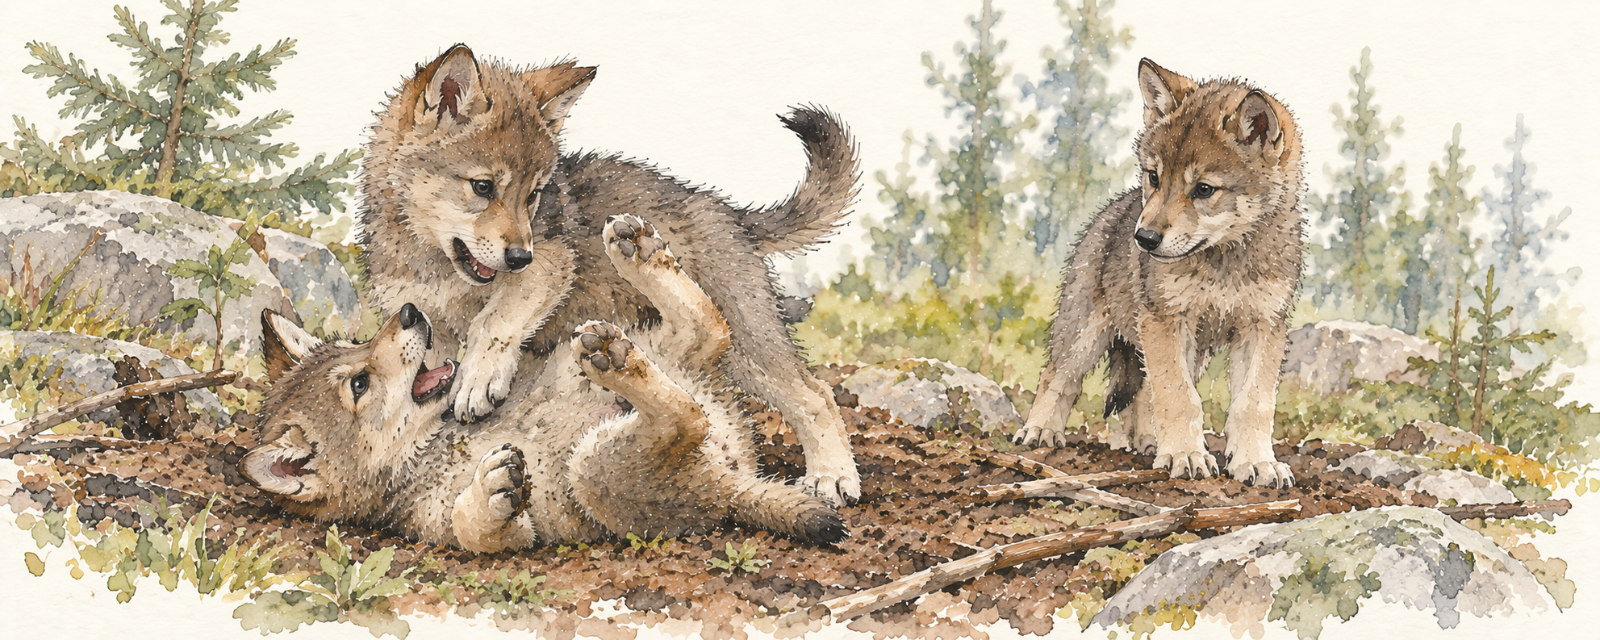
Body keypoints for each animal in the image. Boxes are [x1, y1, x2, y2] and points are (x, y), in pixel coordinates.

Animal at [243, 215, 845, 551]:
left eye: (359, 347)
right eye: (359, 385)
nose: (411, 313)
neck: (432, 445)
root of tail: (734, 486)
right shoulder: (480, 532)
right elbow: (471, 526)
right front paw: (491, 491)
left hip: (631, 353)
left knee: (710, 329)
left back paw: (639, 256)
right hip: (597, 470)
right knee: (686, 415)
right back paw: (617, 362)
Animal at [358, 44, 863, 505]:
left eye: (533, 195)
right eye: (483, 188)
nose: (520, 255)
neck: (432, 261)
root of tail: (730, 213)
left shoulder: (551, 265)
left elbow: (496, 320)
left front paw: (479, 382)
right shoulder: (433, 327)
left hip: (749, 346)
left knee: (815, 394)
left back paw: (834, 478)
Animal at [1012, 59, 1304, 489]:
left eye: (1204, 189)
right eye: (1154, 177)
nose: (1144, 239)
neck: (1224, 262)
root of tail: (1113, 209)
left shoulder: (1263, 326)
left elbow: (1252, 404)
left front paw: (1257, 462)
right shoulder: (1164, 320)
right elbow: (1179, 396)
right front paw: (1186, 455)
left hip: (1187, 350)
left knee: (1140, 394)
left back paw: (1146, 442)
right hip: (1083, 336)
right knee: (1057, 378)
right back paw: (1039, 432)